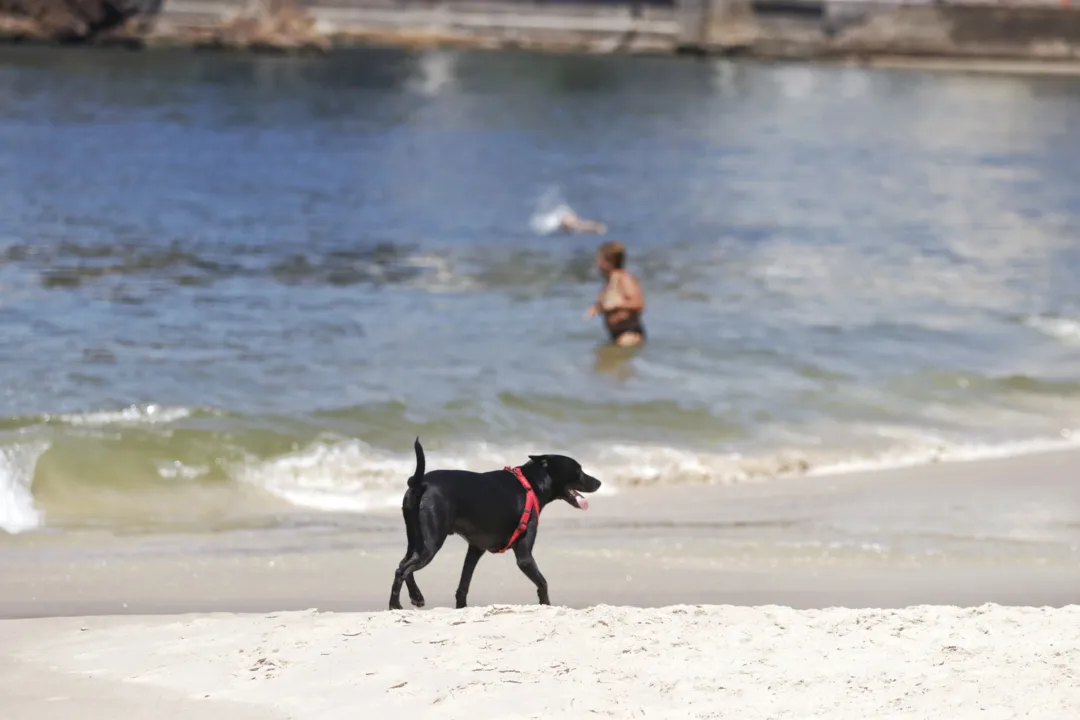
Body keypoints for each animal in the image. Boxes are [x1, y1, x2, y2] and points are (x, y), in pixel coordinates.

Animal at [390, 436, 600, 613]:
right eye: (579, 470)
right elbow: (543, 583)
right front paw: (546, 605)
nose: (598, 482)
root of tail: (420, 482)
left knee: (404, 564)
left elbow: (463, 585)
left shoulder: (475, 549)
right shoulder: (524, 557)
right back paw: (395, 605)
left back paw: (416, 596)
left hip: (417, 540)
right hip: (430, 545)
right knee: (402, 569)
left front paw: (461, 608)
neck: (530, 484)